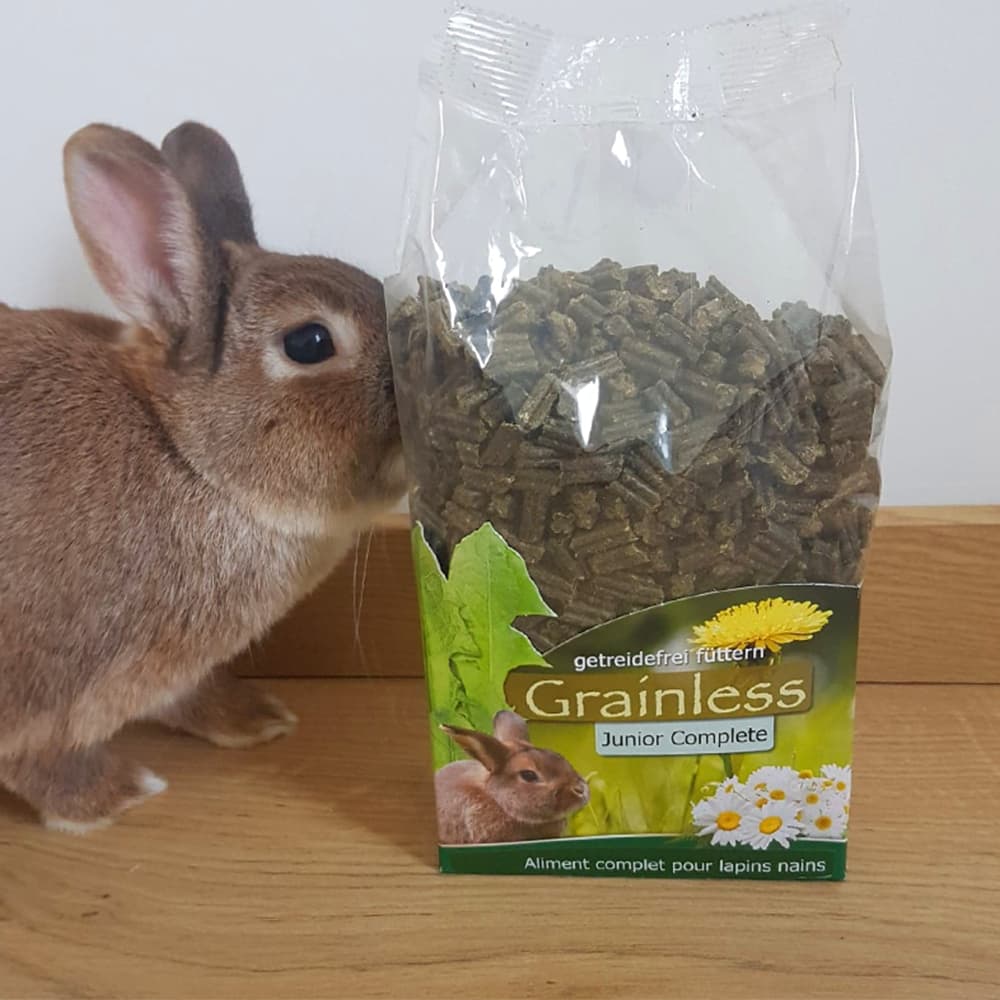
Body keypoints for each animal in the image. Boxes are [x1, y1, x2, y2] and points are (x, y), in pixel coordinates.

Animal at [0, 122, 406, 832]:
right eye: (309, 342)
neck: (186, 457)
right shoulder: (38, 685)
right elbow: (37, 761)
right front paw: (111, 796)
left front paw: (256, 719)